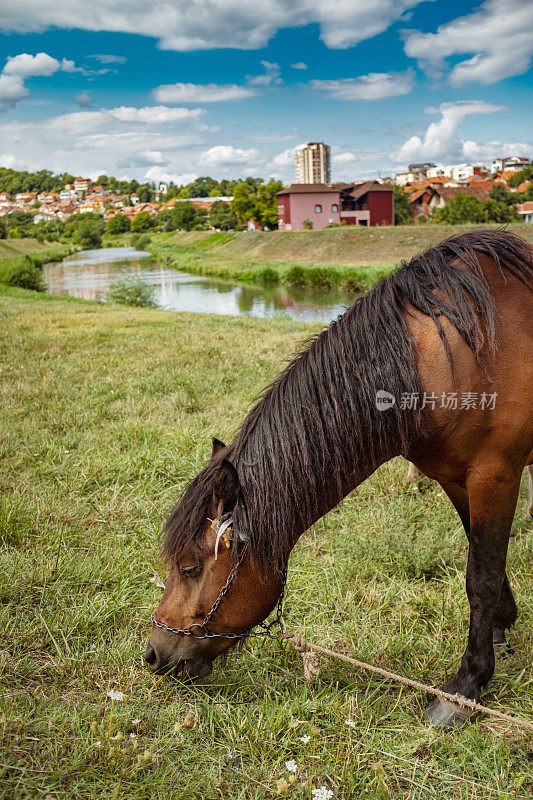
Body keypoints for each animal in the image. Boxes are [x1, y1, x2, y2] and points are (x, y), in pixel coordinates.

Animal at [147, 228, 532, 728]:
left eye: (190, 567)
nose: (153, 655)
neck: (446, 360)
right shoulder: (455, 478)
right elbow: (483, 558)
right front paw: (502, 625)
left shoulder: (494, 474)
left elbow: (480, 577)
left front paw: (466, 686)